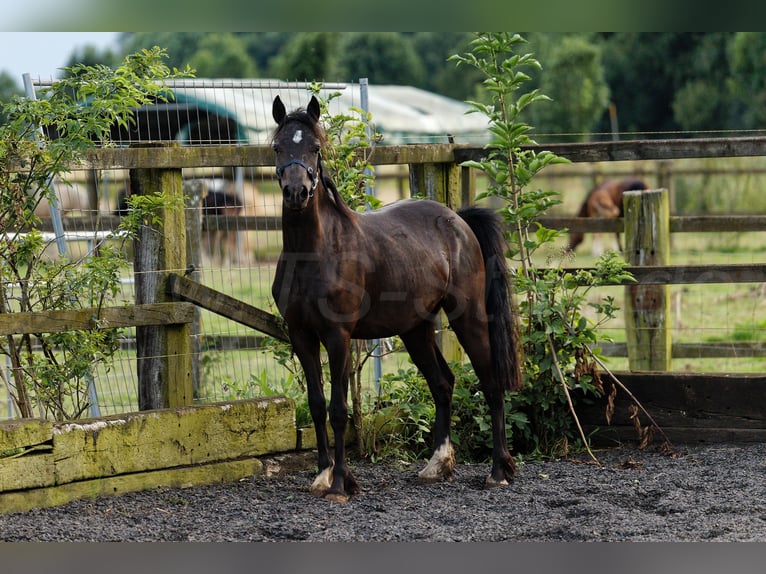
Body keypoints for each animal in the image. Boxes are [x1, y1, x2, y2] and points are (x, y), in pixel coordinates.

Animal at [270, 95, 520, 504]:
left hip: (468, 318)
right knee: (443, 383)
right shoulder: (301, 335)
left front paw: (340, 485)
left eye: (315, 148)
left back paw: (498, 471)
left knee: (491, 381)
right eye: (277, 147)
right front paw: (324, 475)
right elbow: (317, 404)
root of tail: (458, 220)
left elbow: (339, 409)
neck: (313, 252)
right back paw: (437, 465)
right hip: (415, 329)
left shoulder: (337, 337)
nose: (296, 193)